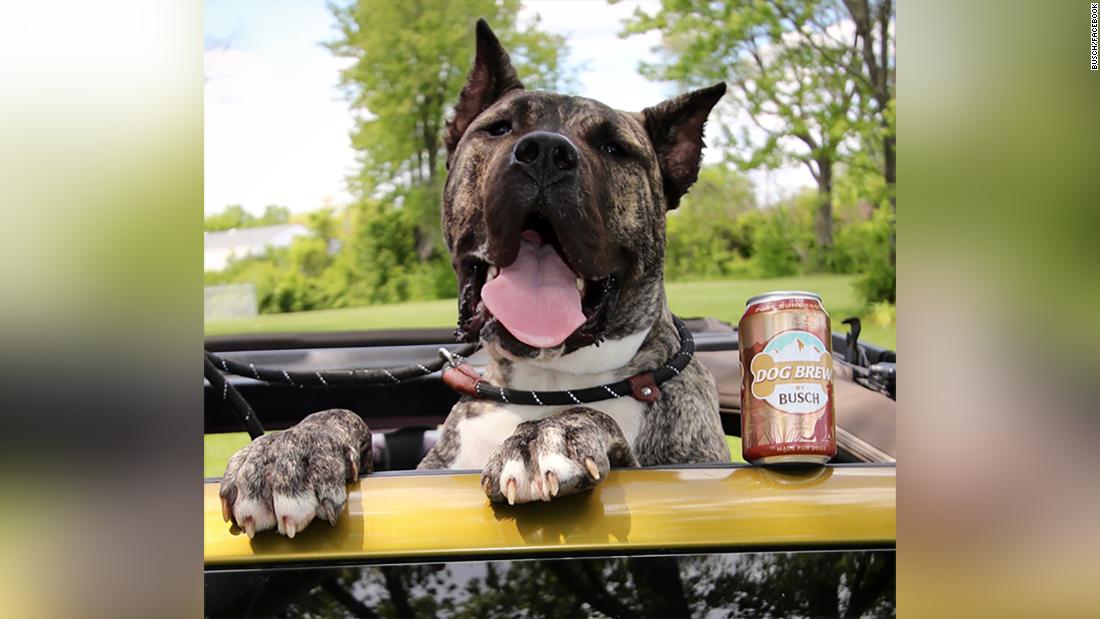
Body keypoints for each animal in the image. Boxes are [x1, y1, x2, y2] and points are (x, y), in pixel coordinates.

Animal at [215, 21, 730, 540]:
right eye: (498, 128)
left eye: (613, 148)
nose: (546, 152)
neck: (547, 383)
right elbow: (340, 413)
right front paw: (289, 448)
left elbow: (593, 417)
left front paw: (549, 434)